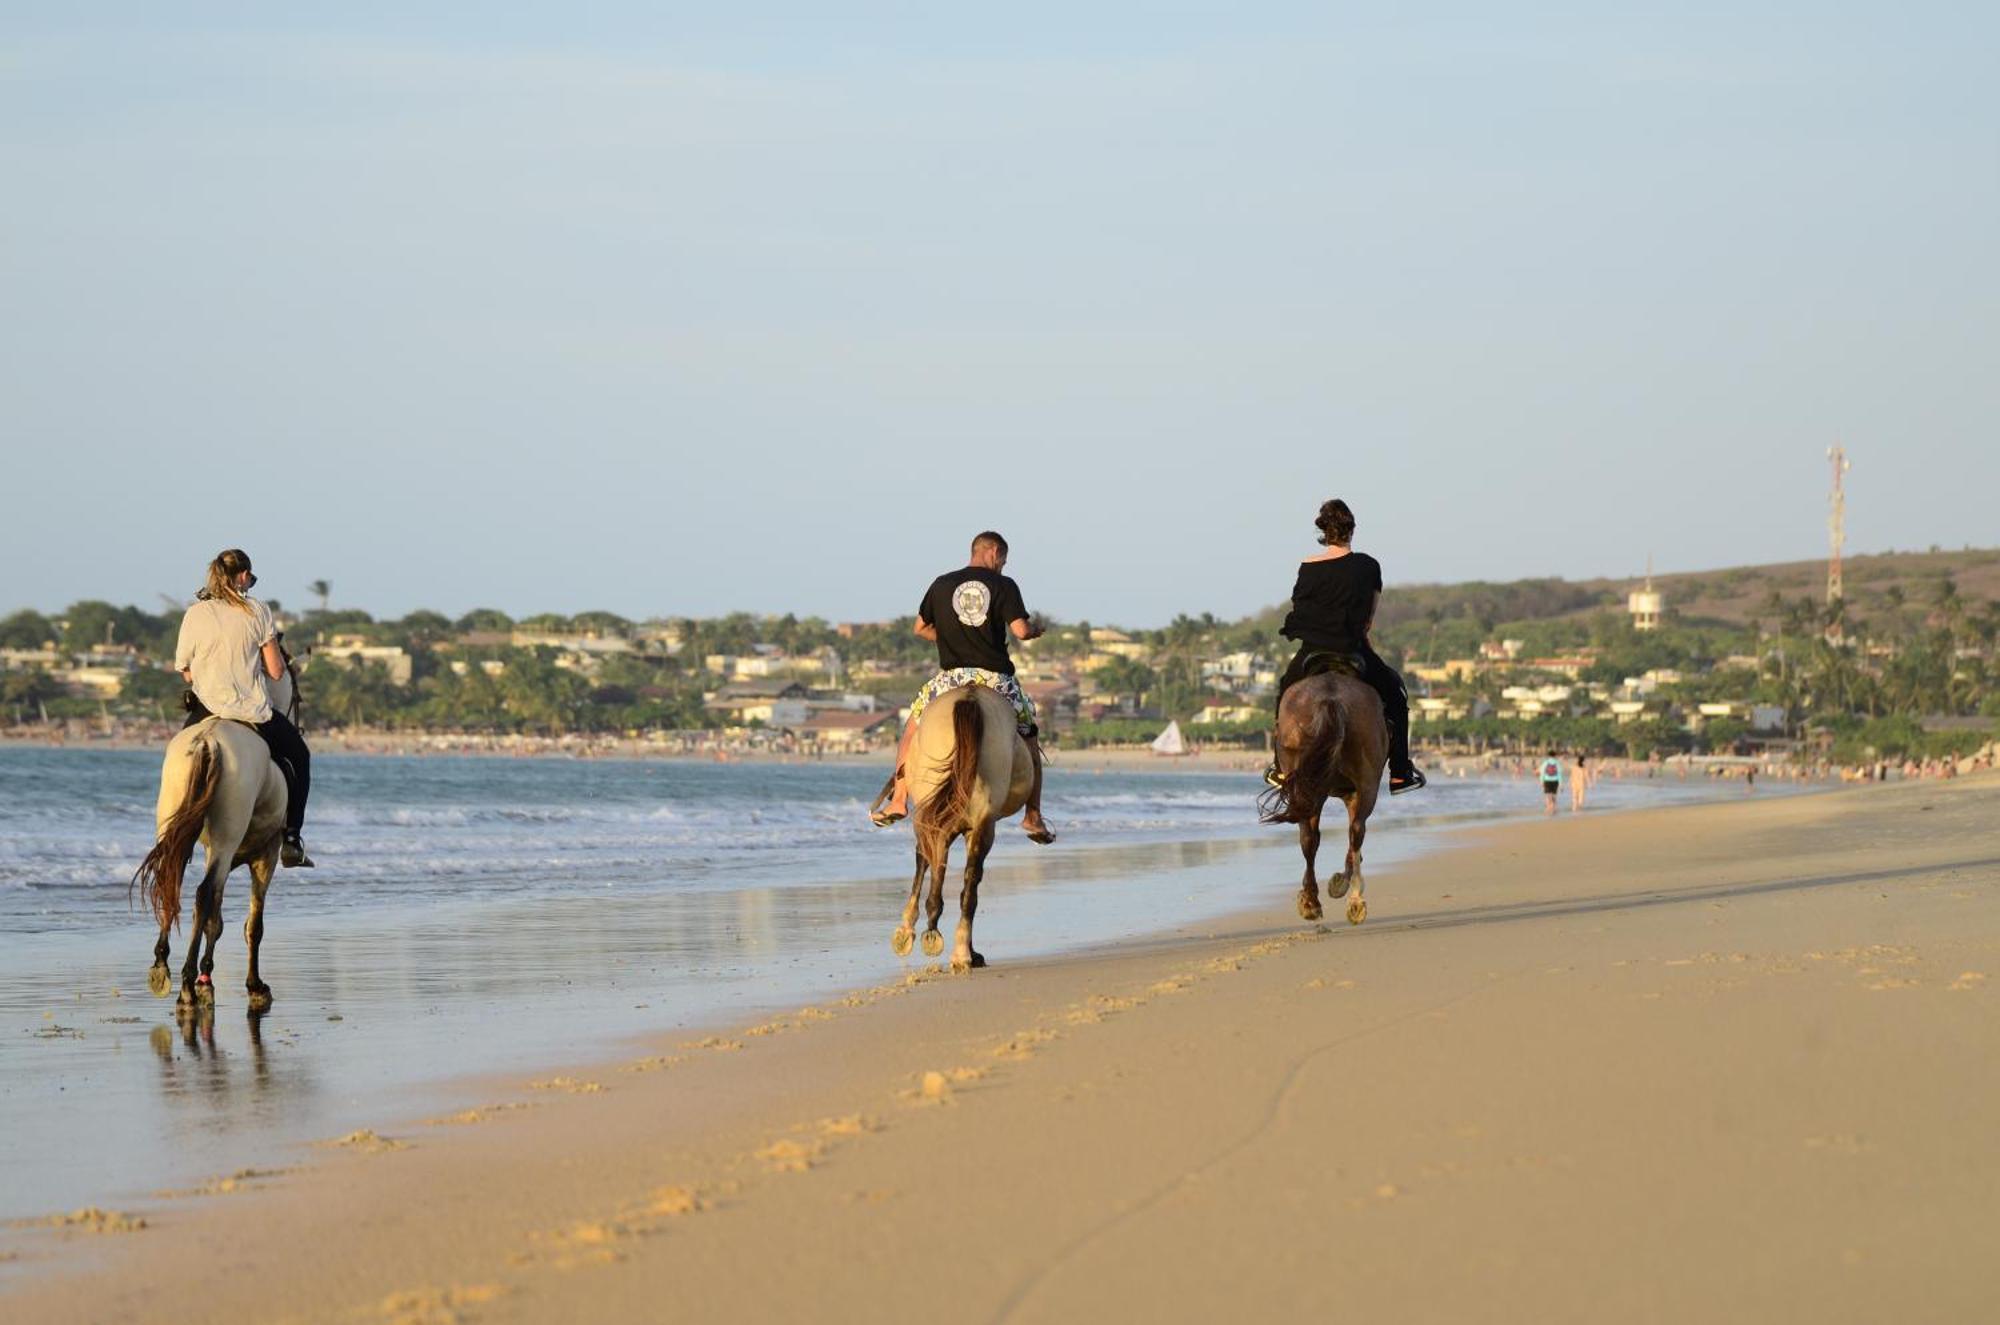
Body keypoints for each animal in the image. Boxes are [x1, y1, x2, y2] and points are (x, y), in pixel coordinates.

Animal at [132, 720, 290, 1012]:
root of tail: (208, 740)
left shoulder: (217, 857)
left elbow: (213, 920)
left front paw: (206, 980)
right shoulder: (266, 855)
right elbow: (253, 925)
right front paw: (254, 985)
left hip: (176, 822)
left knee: (171, 880)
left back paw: (163, 966)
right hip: (227, 837)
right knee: (202, 892)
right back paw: (186, 985)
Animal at [900, 688, 1040, 972]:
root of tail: (969, 697)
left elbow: (927, 861)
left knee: (952, 872)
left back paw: (941, 936)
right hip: (979, 824)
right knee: (968, 882)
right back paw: (957, 948)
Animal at [1256, 668, 1384, 928]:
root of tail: (1330, 697)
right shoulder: (1352, 794)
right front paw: (1341, 882)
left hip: (1311, 787)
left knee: (1310, 837)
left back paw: (1313, 902)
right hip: (1359, 785)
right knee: (1352, 831)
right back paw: (1353, 899)